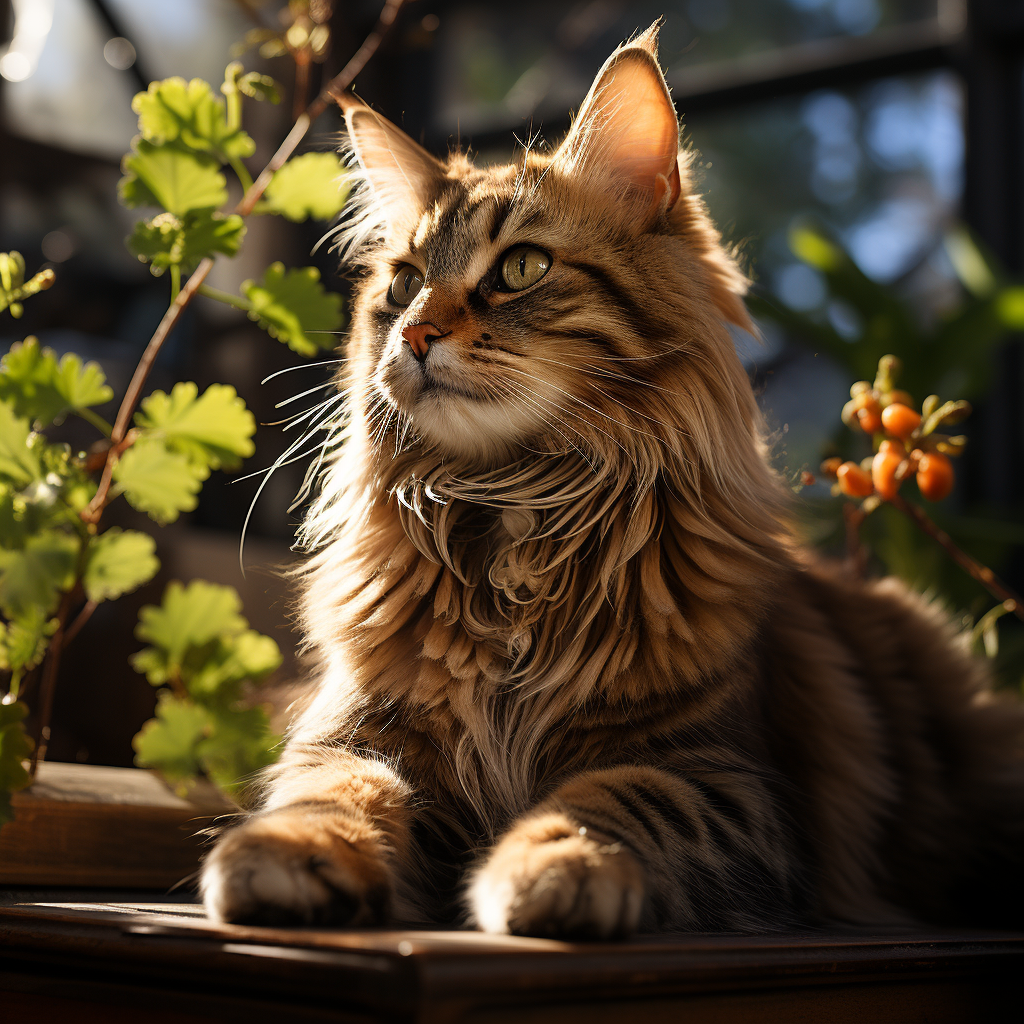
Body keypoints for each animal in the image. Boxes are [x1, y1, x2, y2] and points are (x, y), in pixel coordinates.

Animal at [199, 25, 1024, 937]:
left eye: (521, 268)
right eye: (404, 283)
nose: (413, 334)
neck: (516, 523)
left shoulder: (715, 773)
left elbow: (609, 801)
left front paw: (560, 863)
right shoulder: (357, 734)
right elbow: (329, 794)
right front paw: (285, 853)